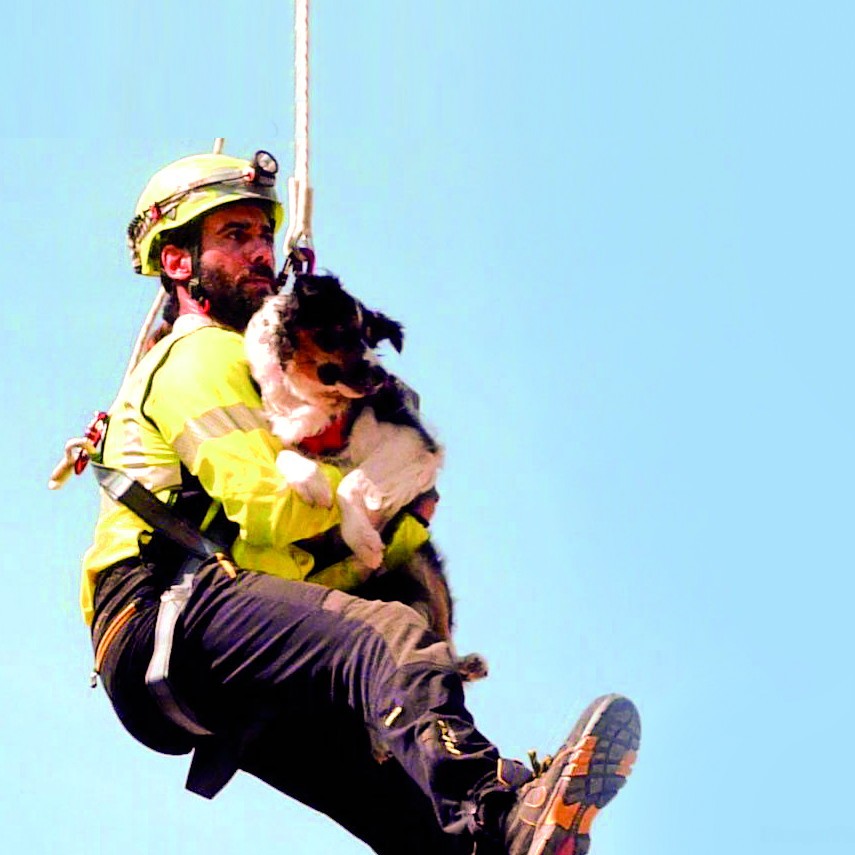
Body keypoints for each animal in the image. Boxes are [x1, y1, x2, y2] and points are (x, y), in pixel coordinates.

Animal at [246, 274, 488, 684]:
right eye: (342, 329)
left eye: (370, 338)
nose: (379, 376)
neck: (320, 402)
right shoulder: (286, 433)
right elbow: (284, 456)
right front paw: (312, 483)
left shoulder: (412, 442)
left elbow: (351, 482)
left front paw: (363, 540)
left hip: (422, 561)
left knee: (441, 636)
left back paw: (464, 664)